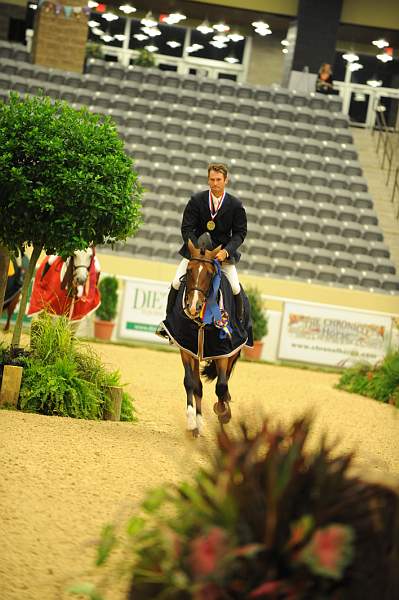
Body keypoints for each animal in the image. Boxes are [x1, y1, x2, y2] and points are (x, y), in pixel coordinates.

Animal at [160, 237, 253, 438]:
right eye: (189, 270)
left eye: (210, 274)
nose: (193, 306)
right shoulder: (187, 346)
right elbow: (191, 383)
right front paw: (191, 421)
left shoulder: (223, 351)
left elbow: (221, 386)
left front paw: (224, 413)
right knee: (198, 386)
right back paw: (198, 425)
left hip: (234, 350)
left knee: (224, 382)